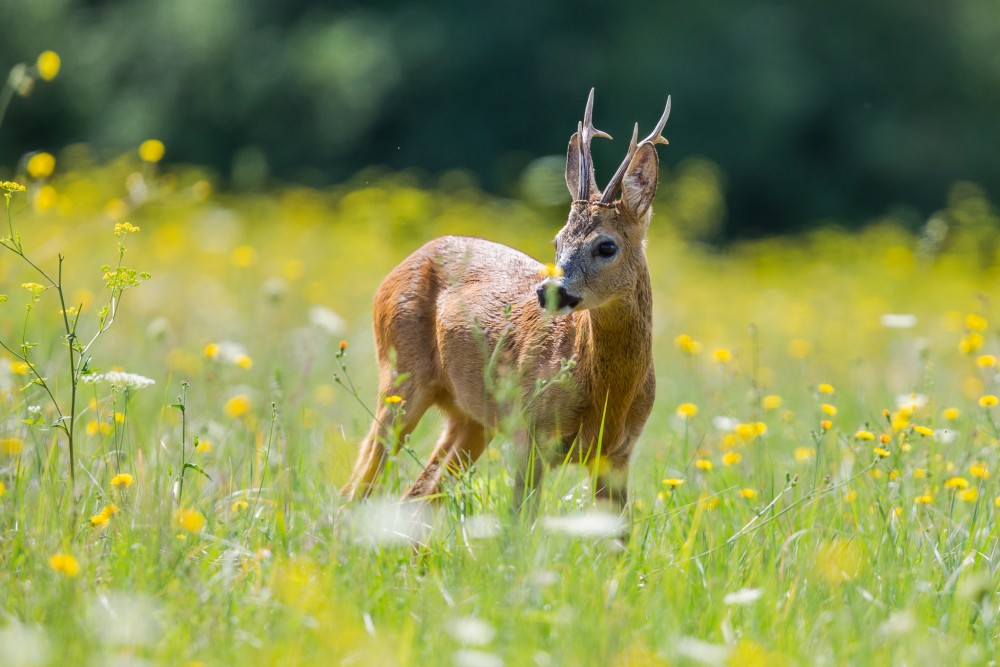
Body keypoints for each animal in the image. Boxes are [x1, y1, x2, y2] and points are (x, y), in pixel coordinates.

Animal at [344, 90, 672, 512]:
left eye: (606, 246)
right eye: (557, 240)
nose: (550, 290)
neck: (606, 395)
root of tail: (394, 271)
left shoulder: (617, 455)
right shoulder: (531, 435)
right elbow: (519, 521)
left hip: (470, 419)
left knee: (418, 494)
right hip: (399, 376)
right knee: (356, 486)